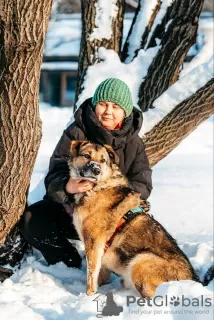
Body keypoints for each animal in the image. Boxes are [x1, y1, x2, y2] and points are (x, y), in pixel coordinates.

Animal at [68, 141, 199, 296]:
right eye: (87, 156)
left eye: (103, 160)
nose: (96, 170)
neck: (97, 188)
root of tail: (192, 281)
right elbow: (99, 275)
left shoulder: (93, 243)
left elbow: (91, 276)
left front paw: (88, 295)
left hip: (140, 261)